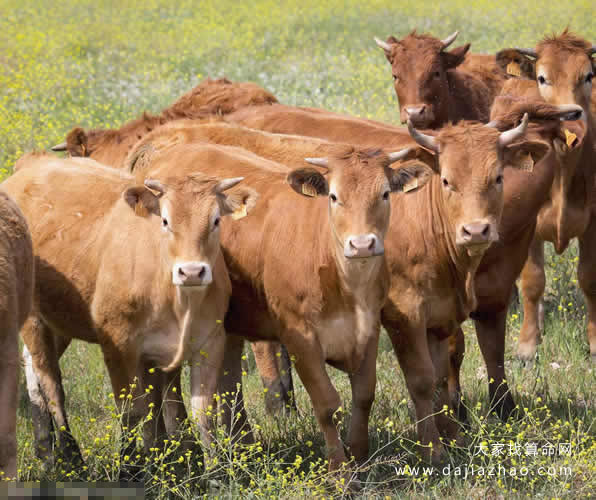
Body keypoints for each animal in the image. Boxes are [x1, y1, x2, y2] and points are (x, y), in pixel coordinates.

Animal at [2, 153, 258, 476]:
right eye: (165, 221)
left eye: (215, 221)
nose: (191, 271)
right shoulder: (118, 345)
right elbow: (131, 410)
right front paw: (129, 466)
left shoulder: (208, 342)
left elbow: (199, 411)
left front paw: (213, 471)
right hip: (33, 319)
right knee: (51, 383)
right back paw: (71, 456)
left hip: (58, 320)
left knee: (34, 373)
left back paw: (47, 451)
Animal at [492, 31, 596, 362]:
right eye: (542, 77)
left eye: (588, 76)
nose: (572, 114)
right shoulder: (528, 223)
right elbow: (533, 282)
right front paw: (527, 345)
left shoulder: (593, 222)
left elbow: (588, 277)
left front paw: (594, 343)